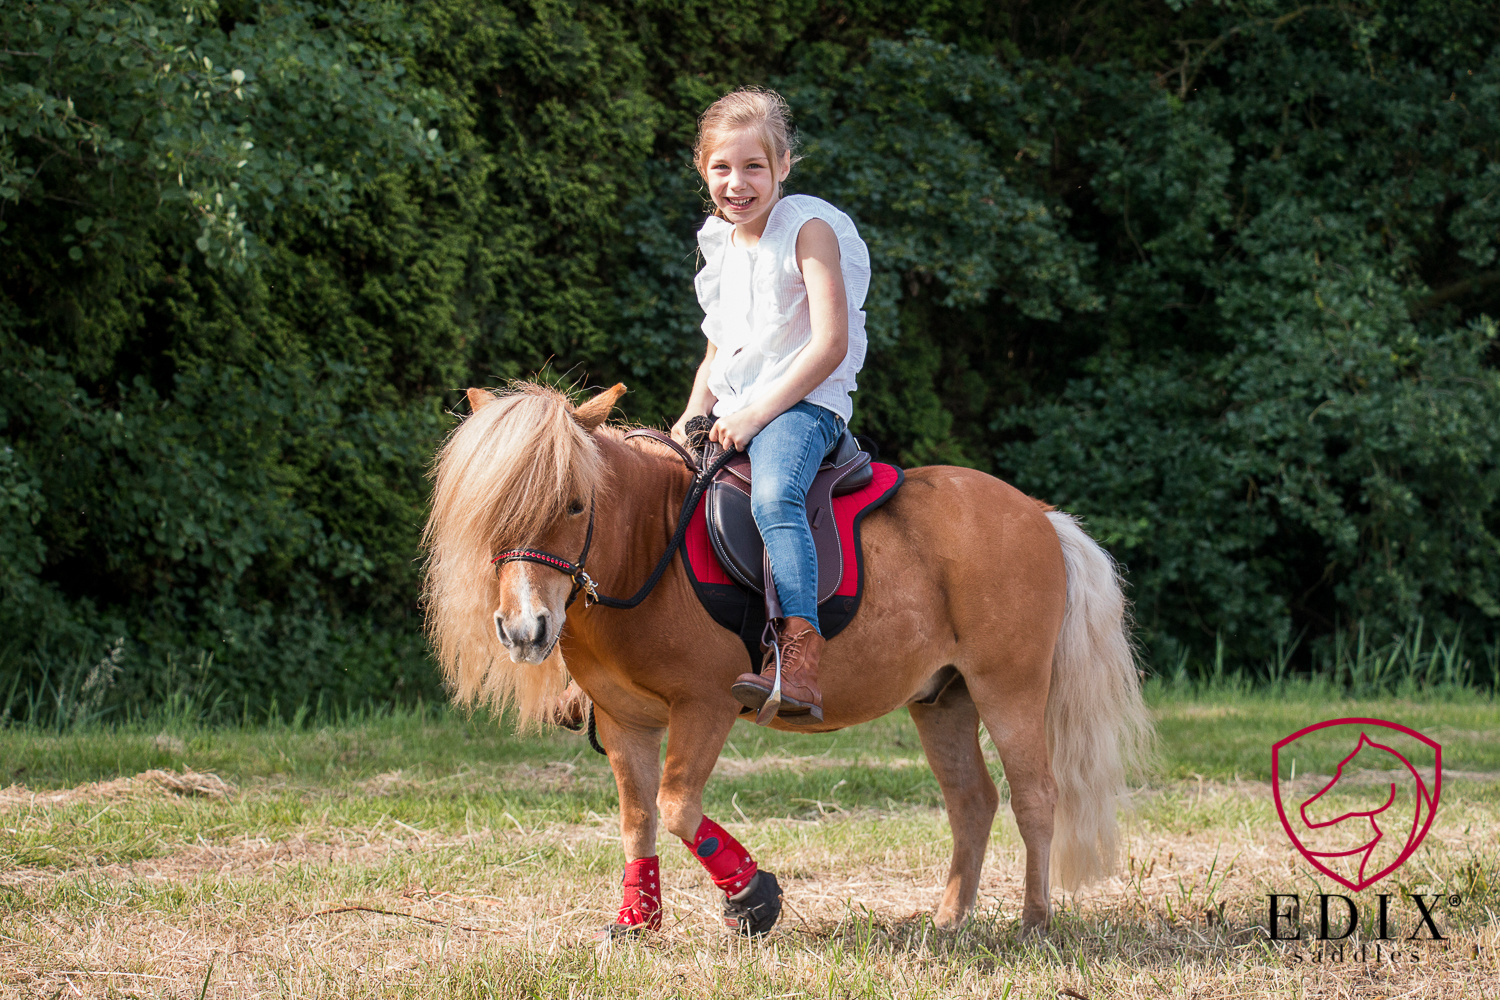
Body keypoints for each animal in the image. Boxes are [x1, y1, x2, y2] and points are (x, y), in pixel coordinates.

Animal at [421, 381, 1152, 937]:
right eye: (488, 515)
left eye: (574, 504)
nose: (525, 630)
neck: (648, 551)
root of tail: (1041, 515)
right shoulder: (626, 720)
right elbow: (639, 820)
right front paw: (637, 922)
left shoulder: (706, 705)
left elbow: (678, 806)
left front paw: (753, 900)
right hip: (942, 698)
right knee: (972, 800)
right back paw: (949, 921)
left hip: (1009, 688)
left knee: (1036, 797)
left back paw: (1034, 922)